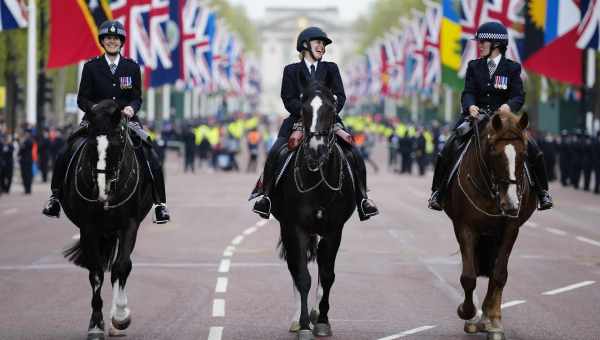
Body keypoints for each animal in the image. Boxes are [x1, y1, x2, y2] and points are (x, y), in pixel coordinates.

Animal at [60, 99, 154, 340]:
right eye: (91, 145)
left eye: (118, 145)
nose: (102, 193)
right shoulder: (88, 228)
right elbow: (96, 272)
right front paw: (96, 324)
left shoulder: (129, 225)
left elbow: (122, 266)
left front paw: (120, 317)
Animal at [270, 82, 356, 340]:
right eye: (304, 109)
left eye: (331, 109)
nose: (316, 149)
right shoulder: (295, 228)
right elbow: (302, 276)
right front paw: (305, 324)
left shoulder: (334, 230)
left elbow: (327, 275)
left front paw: (323, 321)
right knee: (295, 268)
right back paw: (298, 319)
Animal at [446, 111, 536, 340]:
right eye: (494, 152)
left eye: (524, 153)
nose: (511, 204)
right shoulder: (465, 228)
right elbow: (469, 276)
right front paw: (467, 312)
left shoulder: (511, 229)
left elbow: (499, 274)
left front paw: (494, 322)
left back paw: (488, 317)